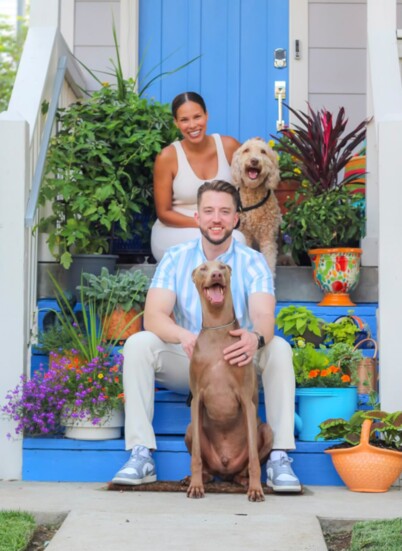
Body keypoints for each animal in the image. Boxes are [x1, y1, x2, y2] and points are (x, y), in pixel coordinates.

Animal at [185, 260, 274, 502]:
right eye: (203, 268)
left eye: (223, 266)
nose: (216, 274)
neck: (217, 329)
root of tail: (224, 469)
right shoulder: (197, 400)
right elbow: (196, 456)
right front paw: (196, 486)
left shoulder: (246, 401)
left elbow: (253, 458)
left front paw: (256, 489)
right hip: (191, 429)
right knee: (206, 464)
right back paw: (199, 478)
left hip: (266, 432)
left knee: (244, 468)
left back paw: (245, 481)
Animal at [231, 138, 282, 276]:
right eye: (246, 150)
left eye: (263, 151)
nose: (254, 160)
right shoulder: (245, 234)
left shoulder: (267, 236)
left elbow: (269, 260)